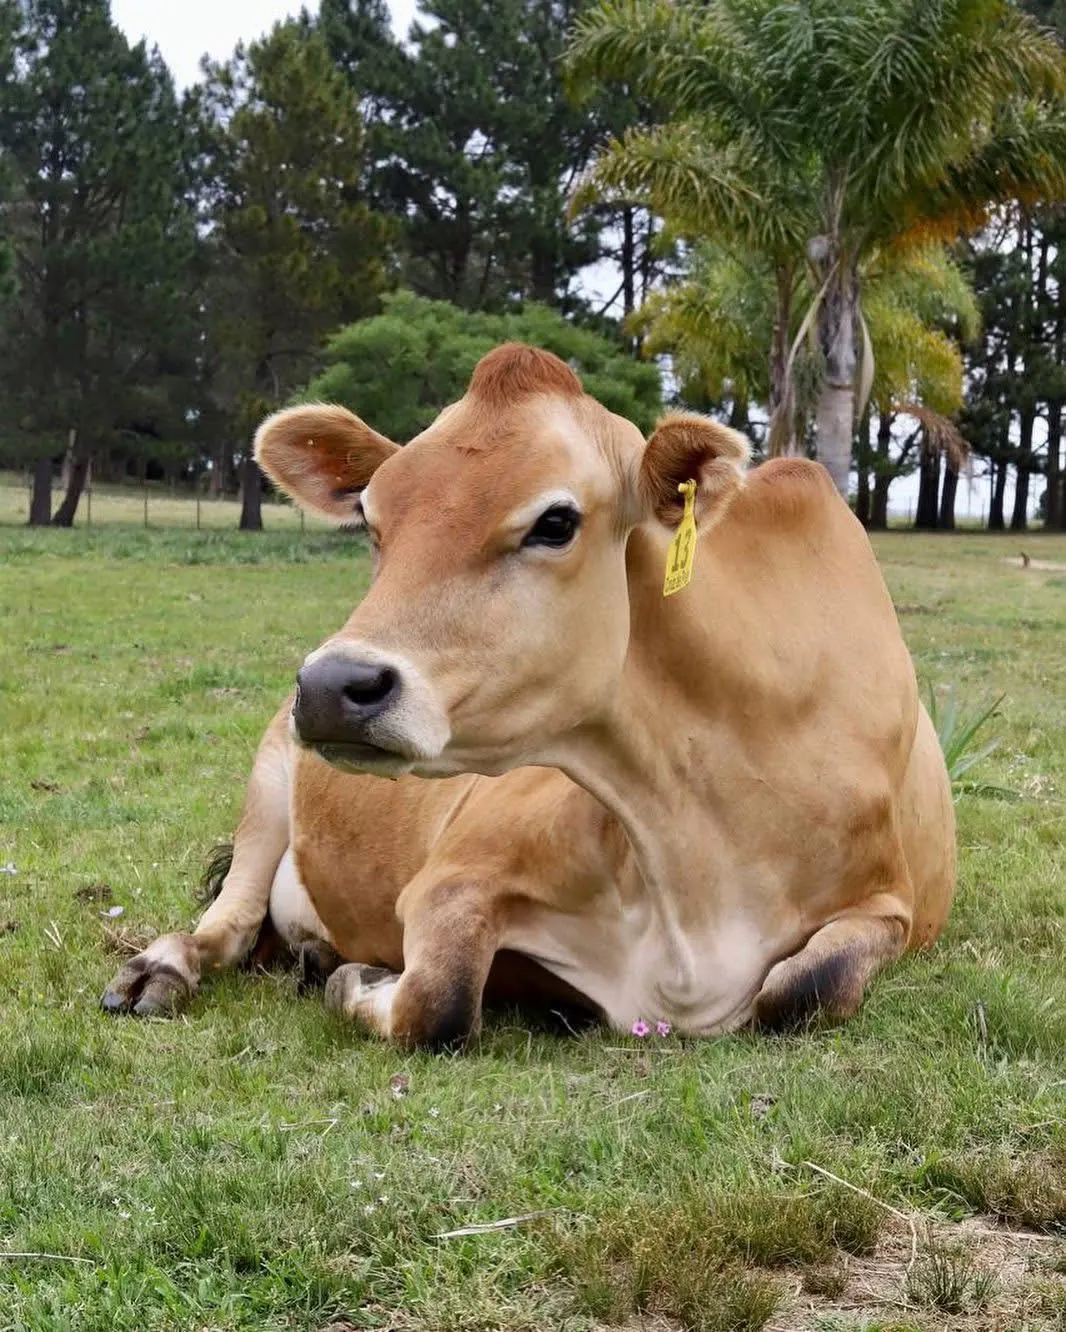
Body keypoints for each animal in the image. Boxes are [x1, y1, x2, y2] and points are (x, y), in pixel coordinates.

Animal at [240, 343, 956, 1039]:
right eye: (370, 520)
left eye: (556, 521)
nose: (331, 684)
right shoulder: (452, 876)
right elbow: (437, 1000)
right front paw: (355, 979)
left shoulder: (886, 904)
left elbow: (809, 986)